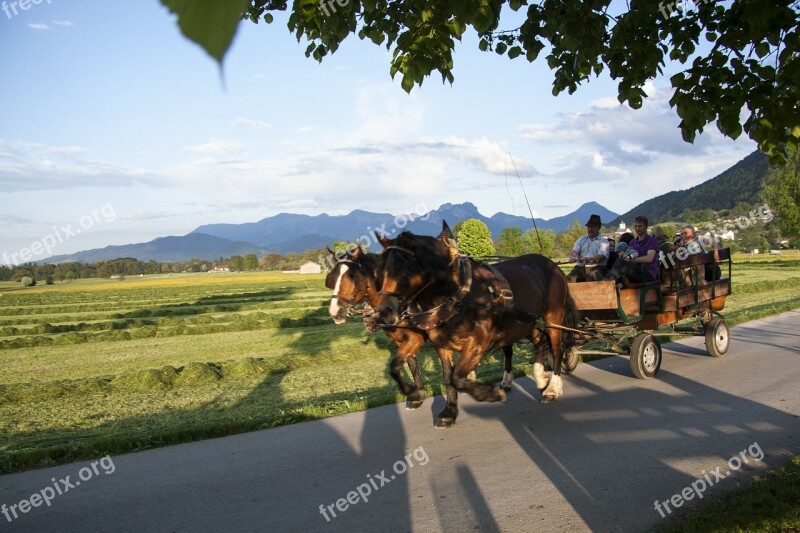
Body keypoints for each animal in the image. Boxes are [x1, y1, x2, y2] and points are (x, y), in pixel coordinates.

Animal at [372, 222, 580, 406]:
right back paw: (540, 377)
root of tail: (553, 265)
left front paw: (488, 393)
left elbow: (456, 378)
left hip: (553, 317)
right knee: (539, 343)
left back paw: (552, 388)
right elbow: (401, 368)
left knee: (557, 348)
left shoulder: (479, 341)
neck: (457, 295)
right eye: (380, 271)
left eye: (404, 269)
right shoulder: (437, 342)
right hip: (526, 321)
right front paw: (416, 394)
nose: (384, 312)